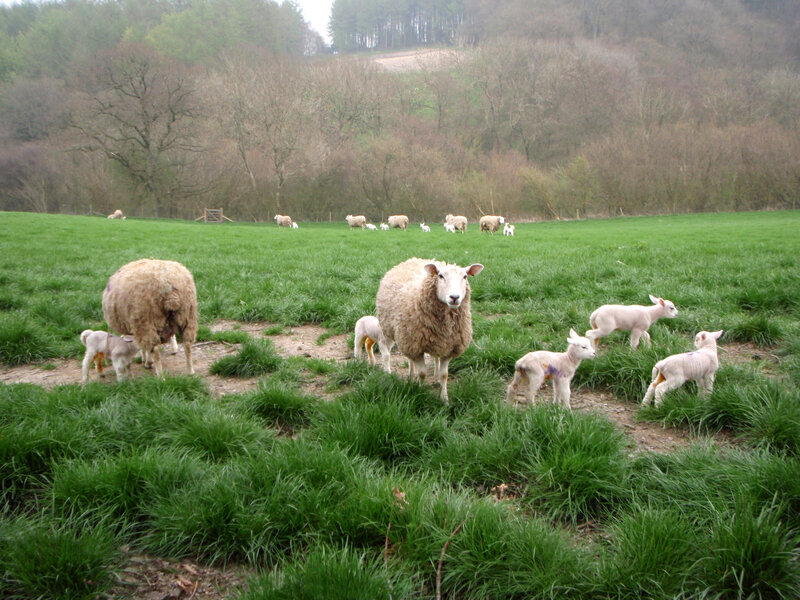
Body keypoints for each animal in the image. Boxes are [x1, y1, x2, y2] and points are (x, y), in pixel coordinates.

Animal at [376, 257, 484, 403]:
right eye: (440, 276)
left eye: (465, 276)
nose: (454, 297)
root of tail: (412, 259)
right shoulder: (415, 346)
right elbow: (422, 373)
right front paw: (420, 393)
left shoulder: (448, 347)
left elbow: (444, 375)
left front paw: (444, 399)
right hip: (391, 330)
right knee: (386, 349)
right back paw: (390, 372)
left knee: (423, 359)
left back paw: (424, 375)